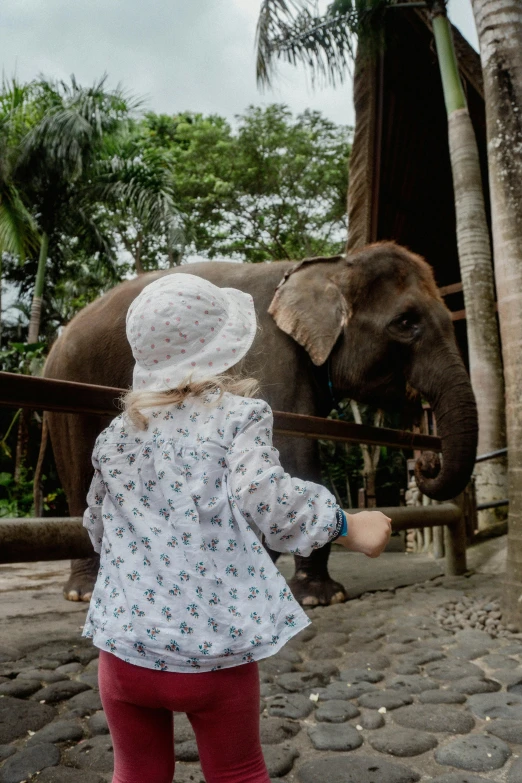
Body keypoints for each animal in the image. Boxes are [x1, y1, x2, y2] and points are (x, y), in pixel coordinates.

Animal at [42, 243, 478, 608]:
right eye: (405, 322)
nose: (426, 463)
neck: (332, 265)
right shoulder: (272, 355)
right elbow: (293, 452)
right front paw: (319, 597)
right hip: (67, 387)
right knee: (79, 479)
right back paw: (83, 592)